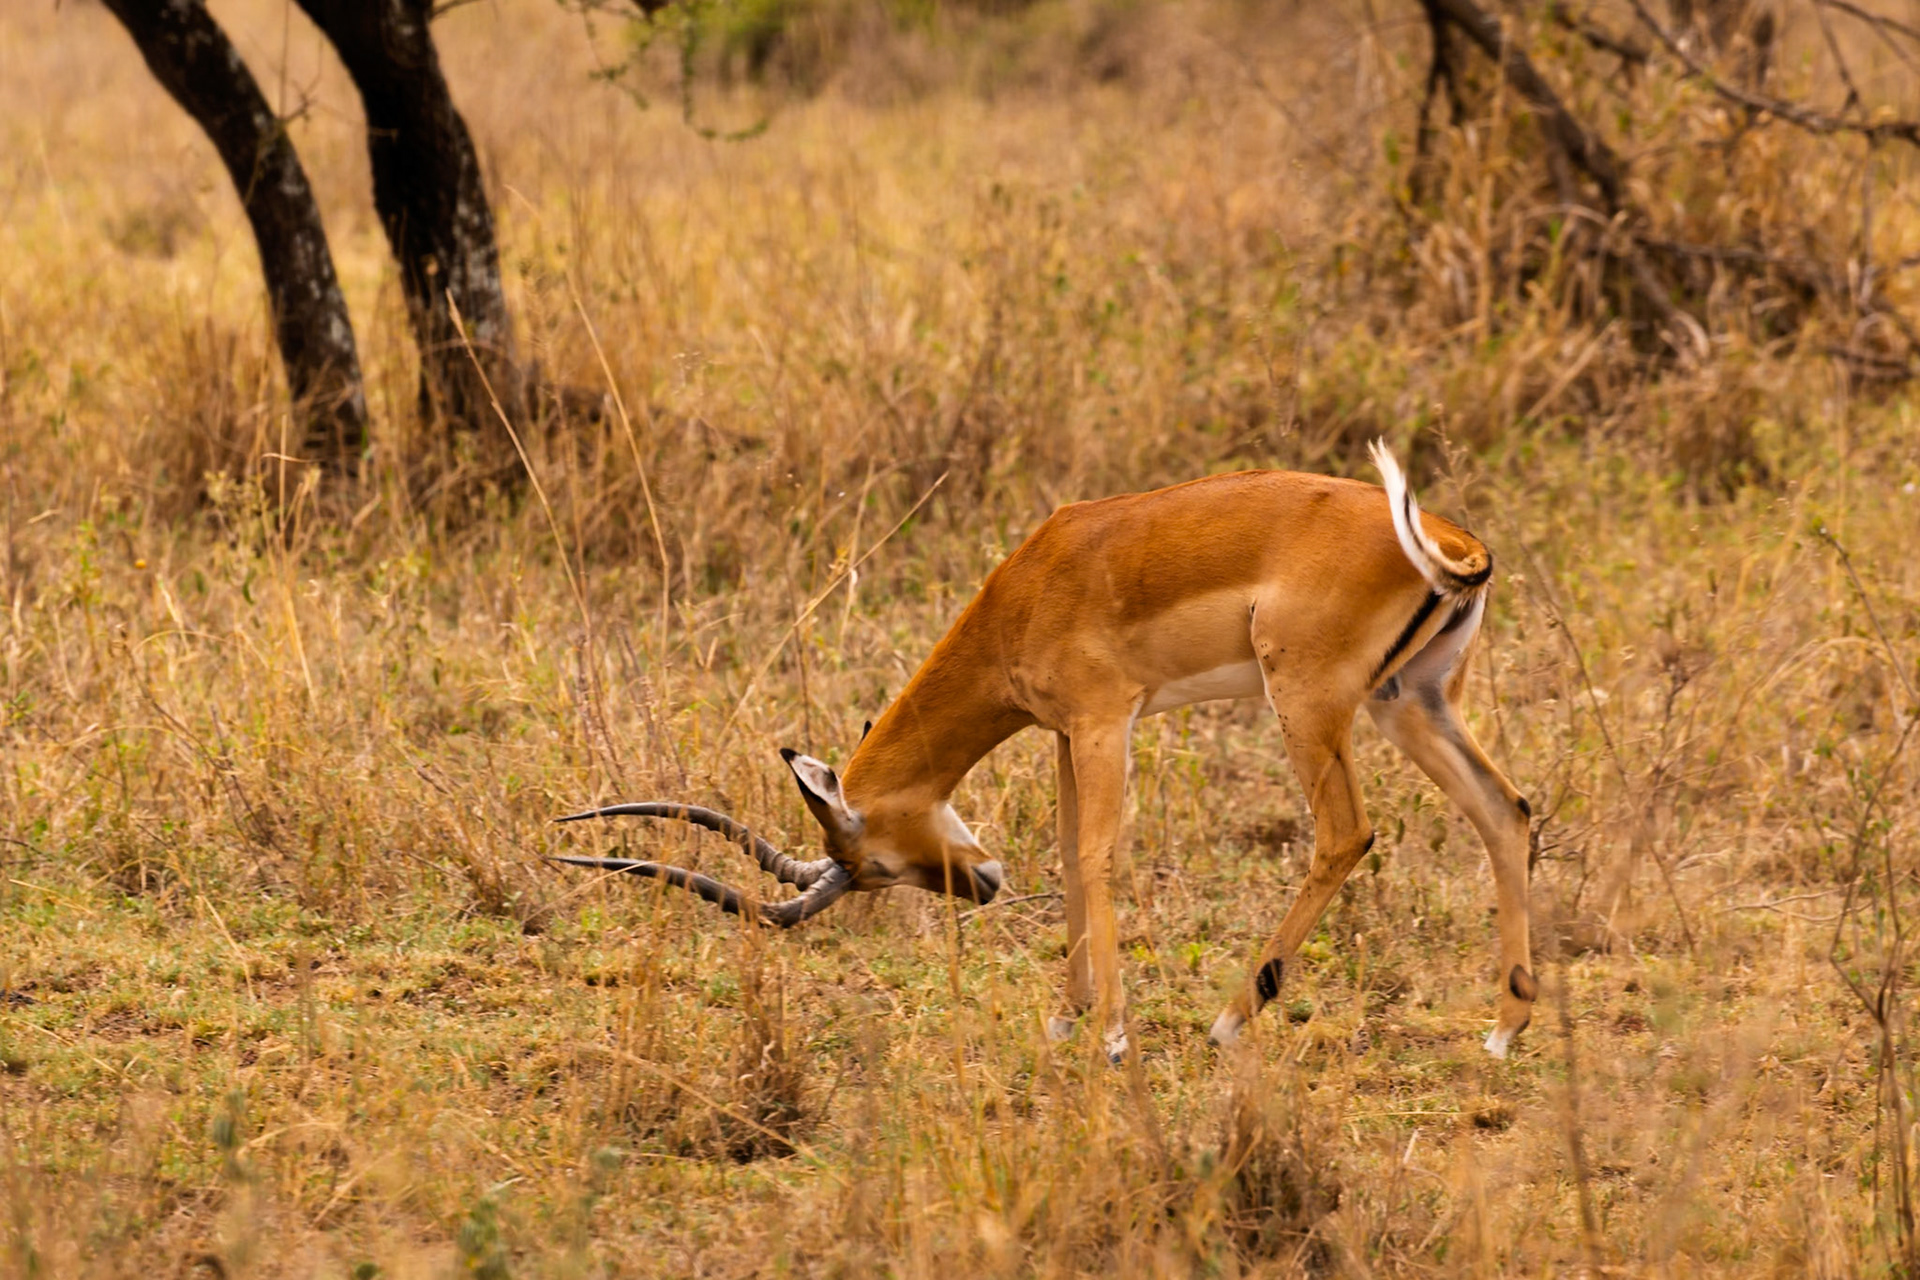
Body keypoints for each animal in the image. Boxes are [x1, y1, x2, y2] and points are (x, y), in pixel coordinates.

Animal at [552, 442, 1536, 1061]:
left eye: (875, 865)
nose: (981, 885)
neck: (1025, 589)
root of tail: (1454, 544)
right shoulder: (1065, 731)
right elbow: (1068, 856)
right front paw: (1067, 1021)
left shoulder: (1105, 720)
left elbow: (1097, 857)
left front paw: (1113, 1037)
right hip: (1409, 701)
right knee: (1506, 810)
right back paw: (1503, 1031)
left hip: (1309, 702)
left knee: (1344, 834)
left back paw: (1227, 1023)